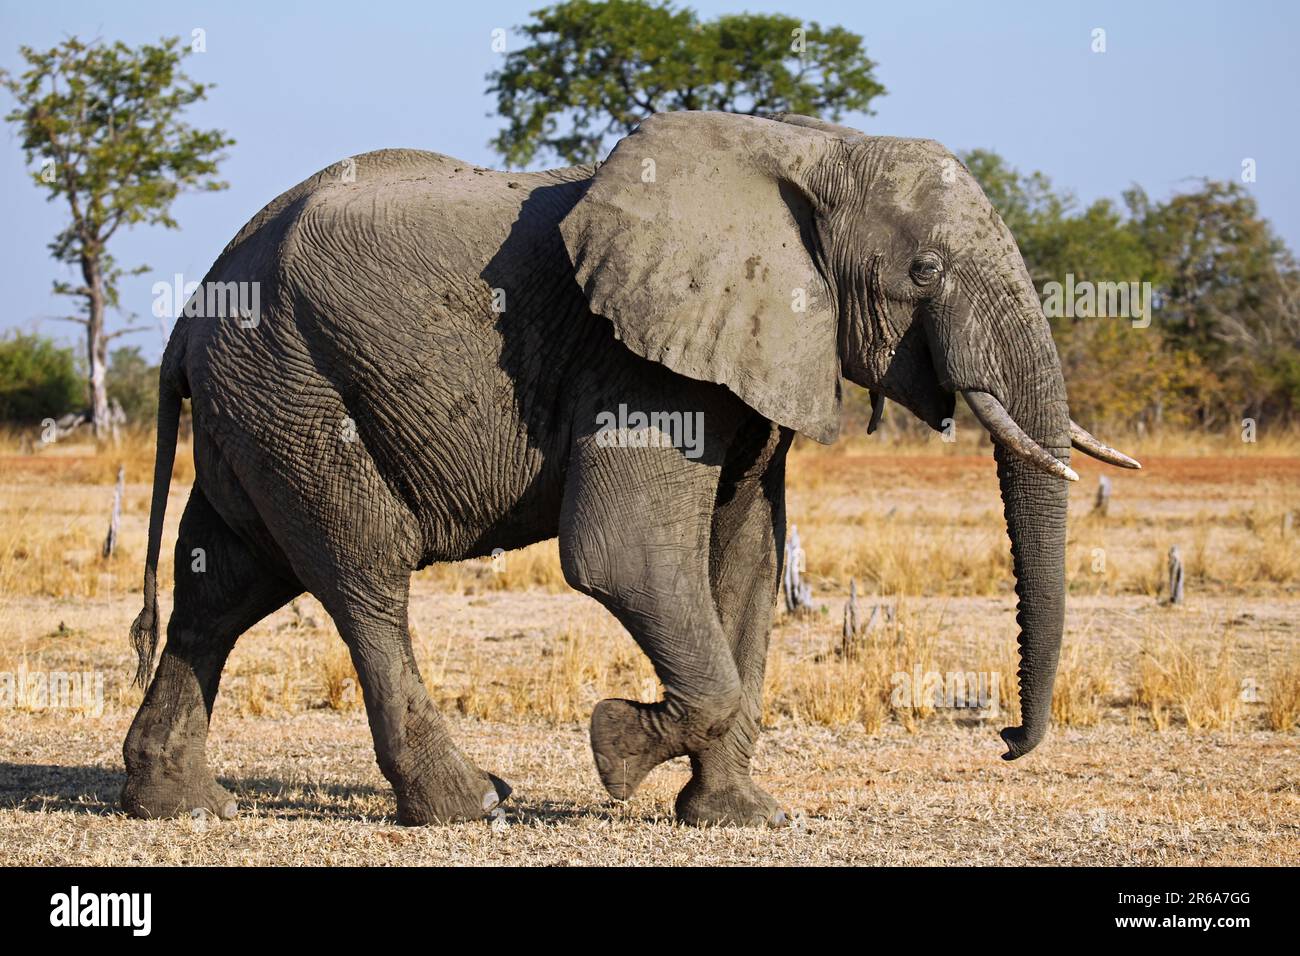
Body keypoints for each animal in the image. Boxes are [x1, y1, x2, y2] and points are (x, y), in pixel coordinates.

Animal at [121, 110, 1140, 827]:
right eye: (925, 270)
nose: (1005, 739)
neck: (812, 148)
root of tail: (189, 314)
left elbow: (746, 561)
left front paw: (738, 817)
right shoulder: (637, 359)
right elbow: (625, 555)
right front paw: (614, 752)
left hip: (258, 407)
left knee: (226, 581)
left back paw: (180, 804)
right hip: (295, 387)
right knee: (362, 573)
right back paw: (473, 803)